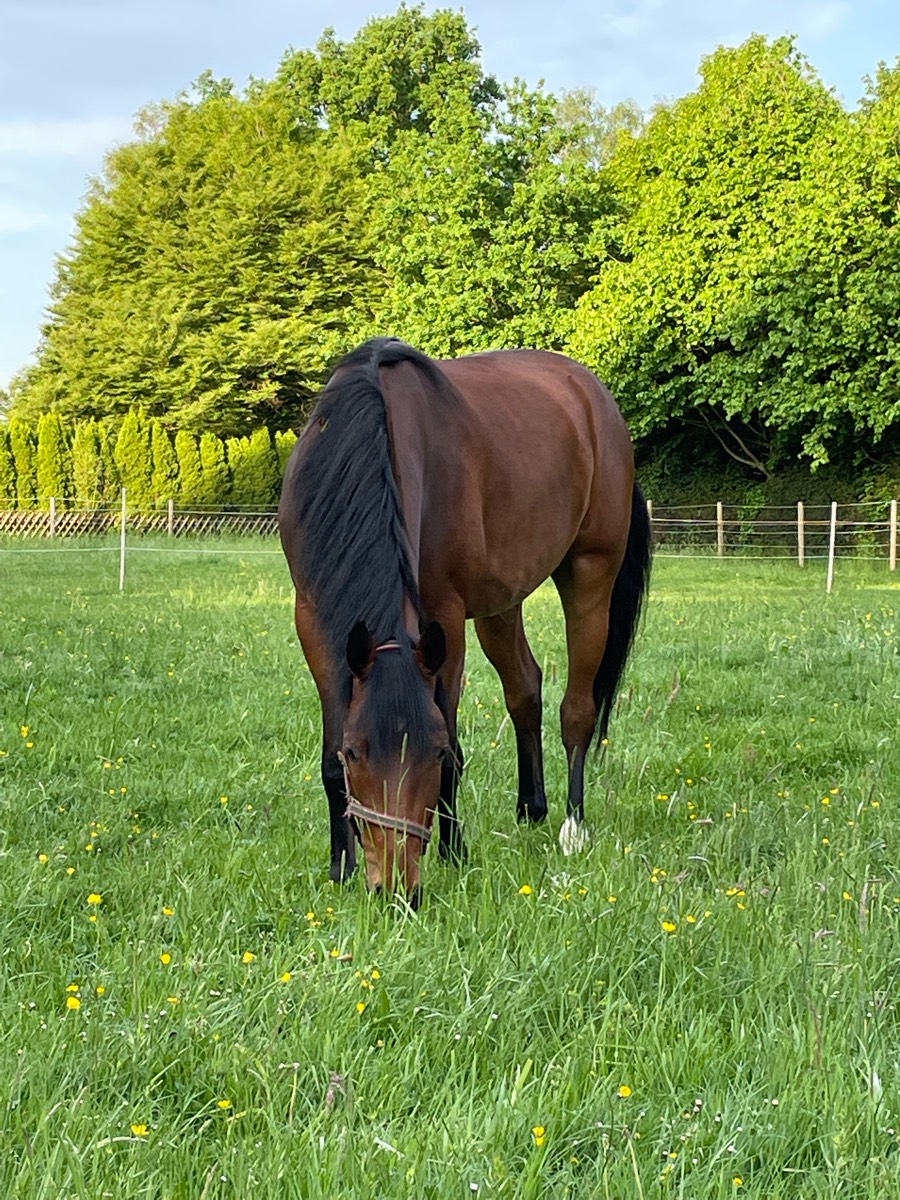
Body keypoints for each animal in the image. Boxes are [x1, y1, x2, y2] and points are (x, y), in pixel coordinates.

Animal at [278, 337, 651, 905]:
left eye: (430, 756)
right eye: (355, 753)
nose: (397, 890)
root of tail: (595, 397)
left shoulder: (445, 620)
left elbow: (454, 739)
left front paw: (455, 853)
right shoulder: (315, 620)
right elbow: (327, 754)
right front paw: (340, 865)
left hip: (590, 576)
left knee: (577, 711)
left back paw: (572, 827)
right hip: (500, 604)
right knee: (525, 688)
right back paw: (531, 809)